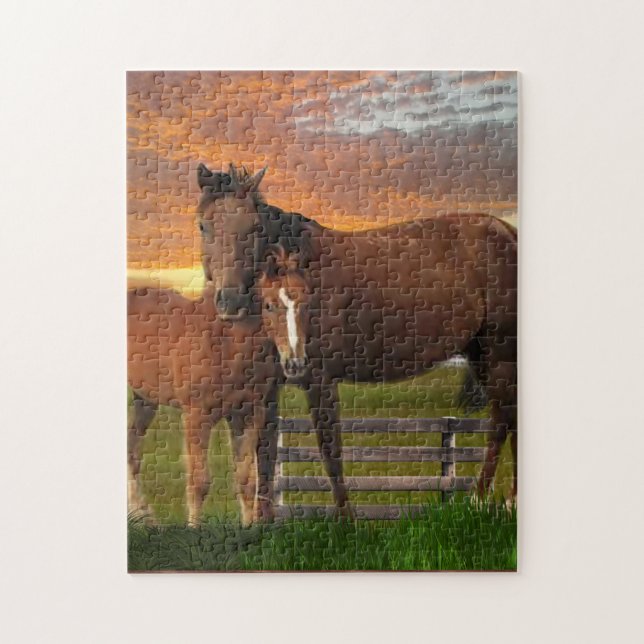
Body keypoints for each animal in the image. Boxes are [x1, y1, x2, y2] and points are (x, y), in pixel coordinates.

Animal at [128, 170, 284, 526]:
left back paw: (145, 517)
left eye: (256, 225)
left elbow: (246, 480)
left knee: (132, 451)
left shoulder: (247, 415)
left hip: (144, 399)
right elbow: (198, 482)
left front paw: (248, 529)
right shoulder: (196, 416)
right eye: (203, 225)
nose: (232, 301)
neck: (224, 344)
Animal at [199, 163, 518, 506]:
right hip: (480, 354)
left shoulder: (320, 380)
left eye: (254, 226)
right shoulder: (268, 390)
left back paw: (484, 498)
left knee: (502, 420)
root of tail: (507, 232)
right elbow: (265, 459)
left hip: (499, 354)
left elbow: (330, 453)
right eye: (204, 226)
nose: (231, 300)